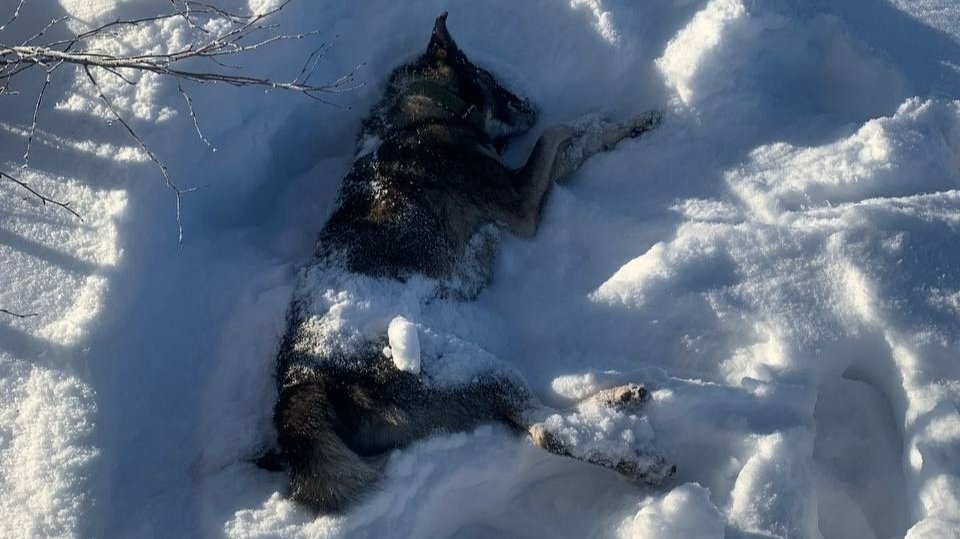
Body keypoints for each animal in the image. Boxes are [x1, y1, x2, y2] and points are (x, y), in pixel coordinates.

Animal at [258, 12, 672, 516]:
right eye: (495, 82)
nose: (534, 103)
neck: (431, 109)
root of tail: (301, 383)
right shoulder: (521, 205)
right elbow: (561, 133)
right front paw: (610, 119)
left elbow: (574, 138)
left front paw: (628, 122)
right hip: (463, 365)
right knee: (543, 428)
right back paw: (640, 457)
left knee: (533, 418)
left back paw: (621, 400)